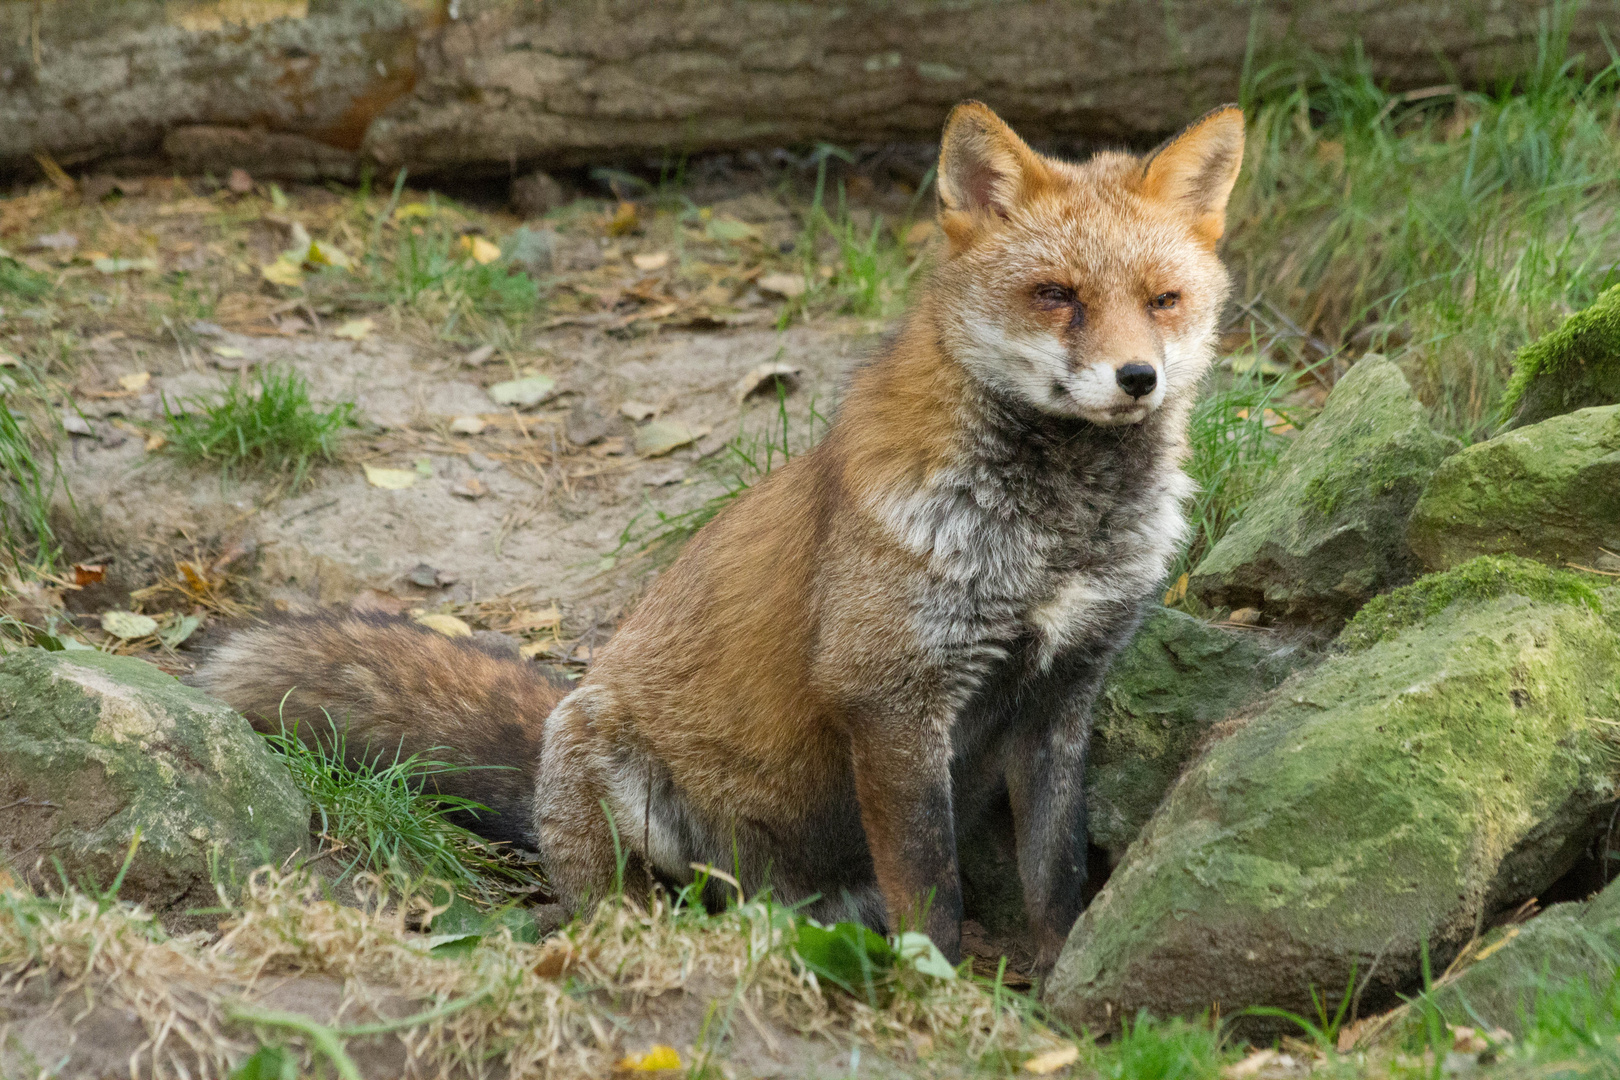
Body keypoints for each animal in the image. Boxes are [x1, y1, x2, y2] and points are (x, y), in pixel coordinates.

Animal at [199, 103, 1237, 971]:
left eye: (1163, 300)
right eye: (1056, 295)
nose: (1137, 378)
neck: (1057, 541)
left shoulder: (1063, 698)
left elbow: (1056, 878)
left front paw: (1058, 981)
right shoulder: (891, 700)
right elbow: (932, 896)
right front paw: (940, 996)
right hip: (619, 780)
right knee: (621, 905)